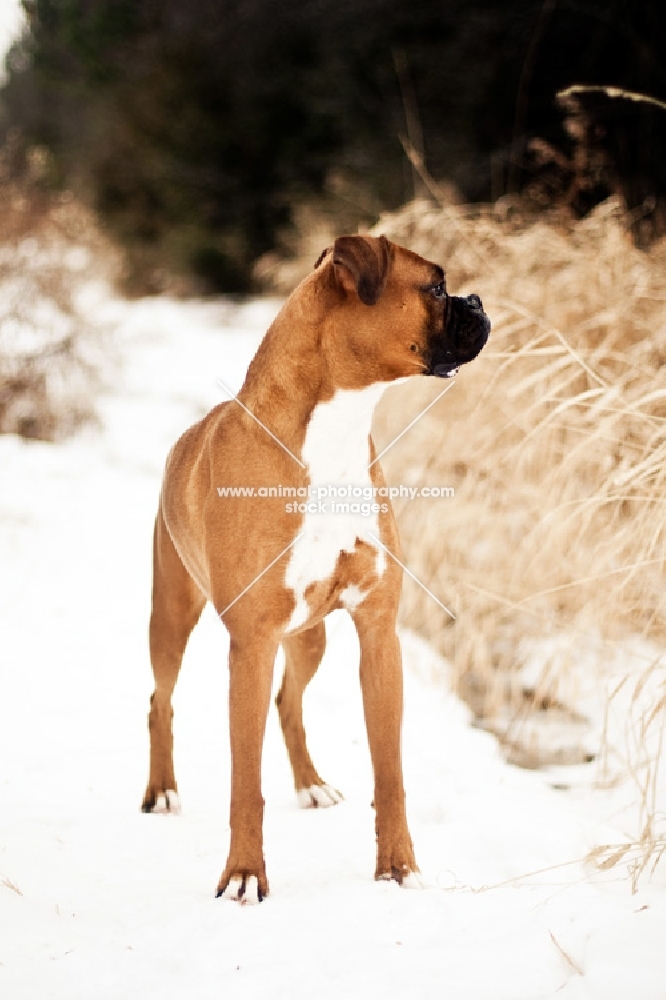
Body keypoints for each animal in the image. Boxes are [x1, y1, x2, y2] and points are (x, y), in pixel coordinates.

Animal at [141, 236, 488, 908]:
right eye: (436, 287)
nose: (479, 301)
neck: (334, 431)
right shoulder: (250, 645)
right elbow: (245, 785)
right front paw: (244, 875)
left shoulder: (378, 636)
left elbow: (390, 772)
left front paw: (397, 867)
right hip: (172, 615)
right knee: (159, 700)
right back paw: (162, 791)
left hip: (309, 638)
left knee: (288, 701)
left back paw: (310, 783)